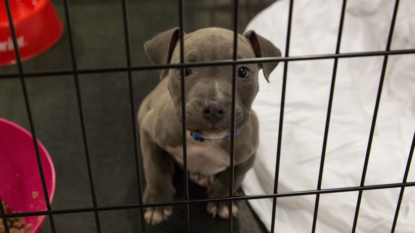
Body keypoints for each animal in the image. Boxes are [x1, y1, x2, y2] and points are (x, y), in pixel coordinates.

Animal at [138, 27, 282, 226]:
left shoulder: (247, 156)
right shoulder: (149, 133)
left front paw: (222, 202)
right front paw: (158, 204)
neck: (205, 140)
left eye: (243, 72)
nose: (214, 107)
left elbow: (232, 178)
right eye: (185, 71)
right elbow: (155, 170)